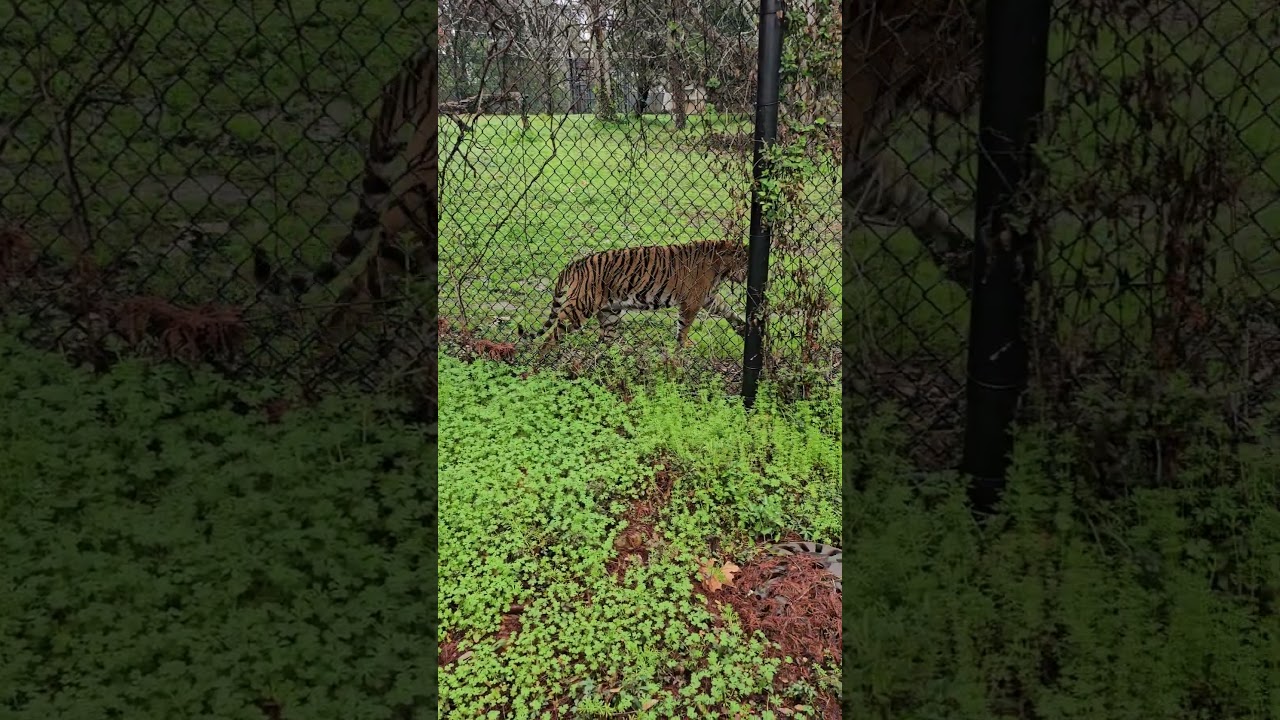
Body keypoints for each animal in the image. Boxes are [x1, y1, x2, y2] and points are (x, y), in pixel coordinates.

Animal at [517, 239, 750, 358]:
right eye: (746, 262)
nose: (747, 276)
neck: (721, 267)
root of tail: (577, 263)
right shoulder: (692, 302)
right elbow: (683, 328)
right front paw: (682, 348)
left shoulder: (708, 298)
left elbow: (728, 310)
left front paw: (742, 327)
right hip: (579, 308)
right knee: (550, 338)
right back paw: (539, 363)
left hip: (610, 313)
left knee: (603, 342)